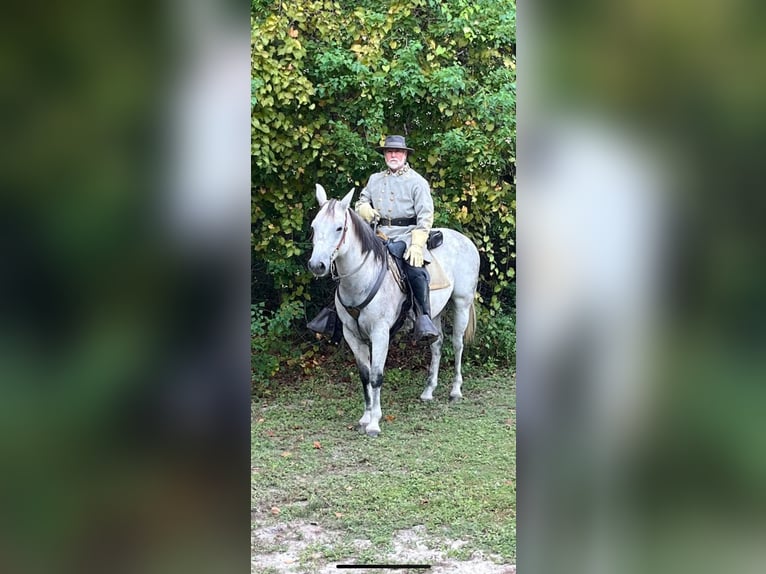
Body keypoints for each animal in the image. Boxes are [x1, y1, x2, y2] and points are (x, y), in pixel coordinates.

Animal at [308, 187, 480, 438]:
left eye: (339, 227)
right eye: (314, 227)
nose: (317, 265)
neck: (363, 278)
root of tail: (465, 240)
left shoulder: (380, 333)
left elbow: (376, 375)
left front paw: (374, 422)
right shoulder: (352, 335)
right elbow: (365, 375)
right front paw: (365, 416)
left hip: (461, 303)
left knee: (457, 344)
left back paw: (456, 390)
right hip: (434, 313)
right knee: (436, 344)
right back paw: (428, 391)